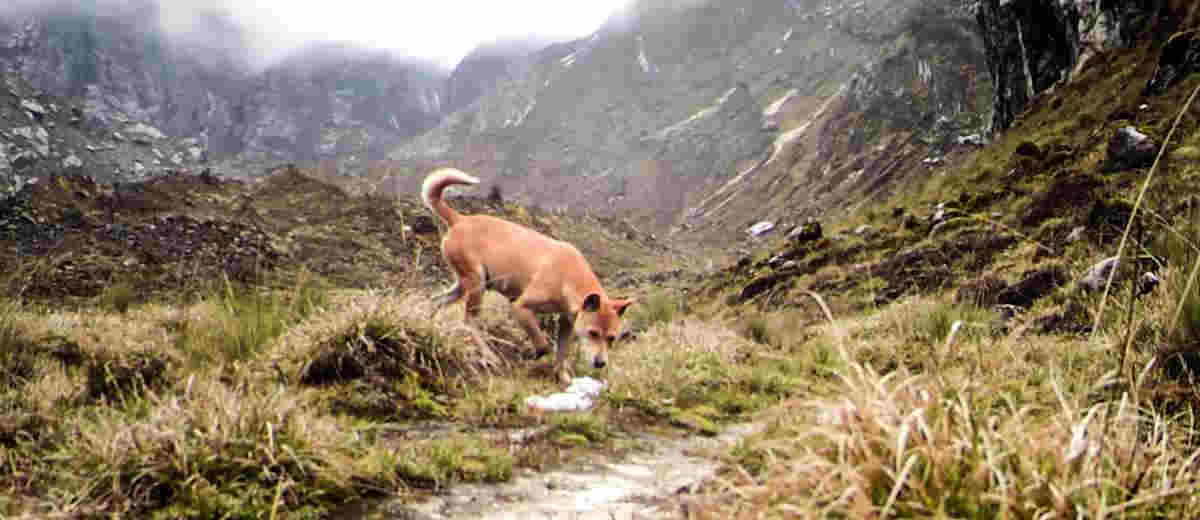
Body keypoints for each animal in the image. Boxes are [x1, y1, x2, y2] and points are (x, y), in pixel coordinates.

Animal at [420, 166, 633, 381]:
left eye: (611, 338)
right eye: (593, 333)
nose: (600, 363)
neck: (568, 276)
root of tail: (459, 219)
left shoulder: (566, 323)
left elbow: (561, 354)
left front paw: (563, 378)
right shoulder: (520, 307)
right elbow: (544, 345)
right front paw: (535, 355)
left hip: (464, 285)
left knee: (435, 301)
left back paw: (429, 326)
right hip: (476, 285)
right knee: (469, 321)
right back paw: (489, 356)